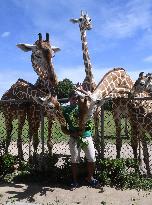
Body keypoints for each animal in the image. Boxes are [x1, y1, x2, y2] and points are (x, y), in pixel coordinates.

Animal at [70, 10, 133, 159]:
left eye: (89, 19)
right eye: (80, 19)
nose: (89, 26)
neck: (89, 78)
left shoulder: (98, 109)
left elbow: (98, 132)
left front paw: (99, 150)